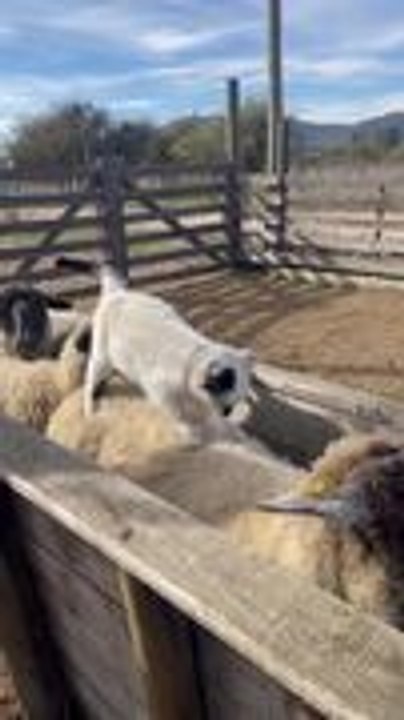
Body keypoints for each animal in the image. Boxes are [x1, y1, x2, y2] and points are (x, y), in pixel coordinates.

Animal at [55, 255, 253, 422]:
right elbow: (178, 415)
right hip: (101, 359)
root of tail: (118, 292)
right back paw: (89, 410)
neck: (191, 362)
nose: (226, 413)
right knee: (89, 384)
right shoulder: (160, 391)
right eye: (227, 406)